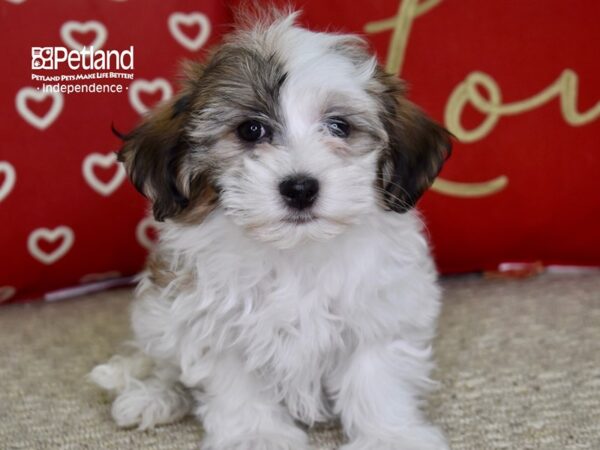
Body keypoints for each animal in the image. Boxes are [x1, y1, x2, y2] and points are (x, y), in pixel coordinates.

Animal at [92, 10, 450, 450]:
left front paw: (389, 435)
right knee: (165, 362)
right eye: (251, 130)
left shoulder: (378, 309)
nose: (300, 188)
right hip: (156, 314)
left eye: (339, 126)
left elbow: (375, 376)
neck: (296, 251)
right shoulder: (215, 317)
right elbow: (236, 382)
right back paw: (154, 397)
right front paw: (255, 434)